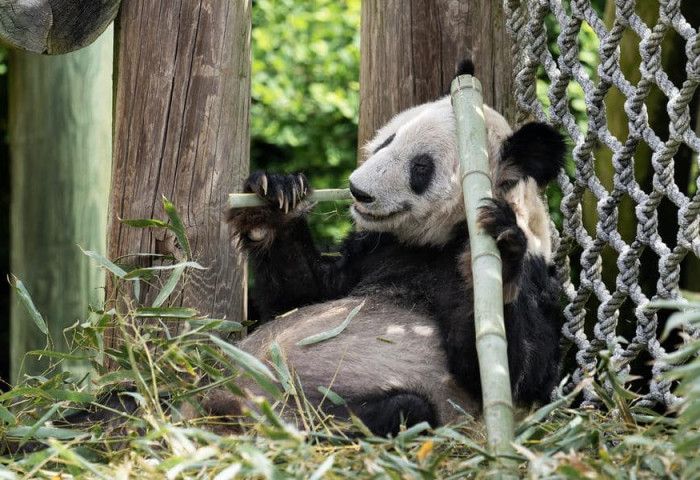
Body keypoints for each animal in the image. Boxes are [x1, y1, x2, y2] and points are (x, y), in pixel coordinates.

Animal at [211, 70, 568, 436]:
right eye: (388, 140)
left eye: (421, 167)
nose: (358, 191)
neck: (437, 240)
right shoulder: (376, 249)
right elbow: (299, 297)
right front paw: (275, 196)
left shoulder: (535, 276)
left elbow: (518, 374)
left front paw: (503, 248)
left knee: (405, 409)